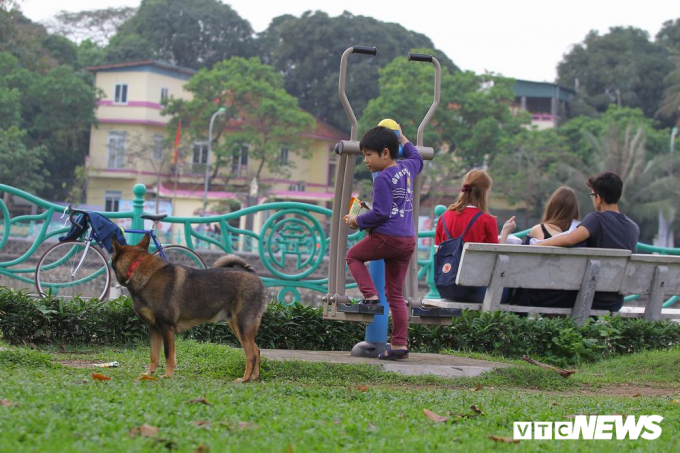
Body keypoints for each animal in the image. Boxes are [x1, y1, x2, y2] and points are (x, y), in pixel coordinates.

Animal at [110, 233, 266, 382]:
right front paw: (148, 375)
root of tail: (252, 274)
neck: (137, 267)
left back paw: (245, 379)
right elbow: (154, 356)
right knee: (256, 350)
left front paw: (167, 376)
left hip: (243, 325)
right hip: (237, 326)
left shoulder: (167, 328)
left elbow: (168, 355)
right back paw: (254, 377)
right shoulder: (154, 330)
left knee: (251, 355)